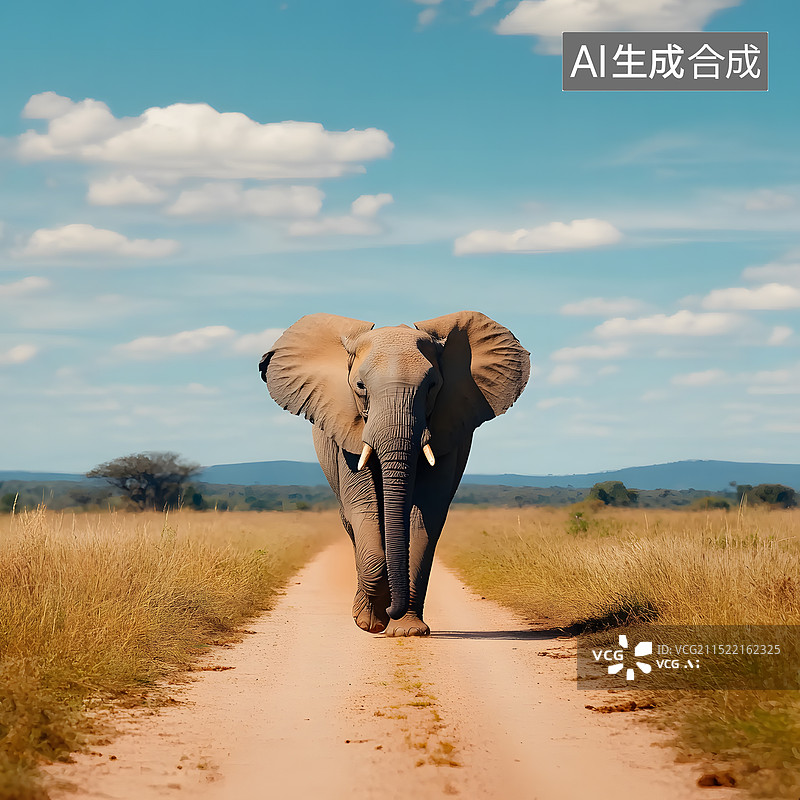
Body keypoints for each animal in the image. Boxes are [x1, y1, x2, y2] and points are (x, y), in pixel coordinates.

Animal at [259, 311, 530, 636]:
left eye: (432, 386)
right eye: (360, 386)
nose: (390, 613)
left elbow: (424, 516)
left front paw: (407, 631)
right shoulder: (346, 435)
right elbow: (364, 510)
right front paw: (371, 622)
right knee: (352, 523)